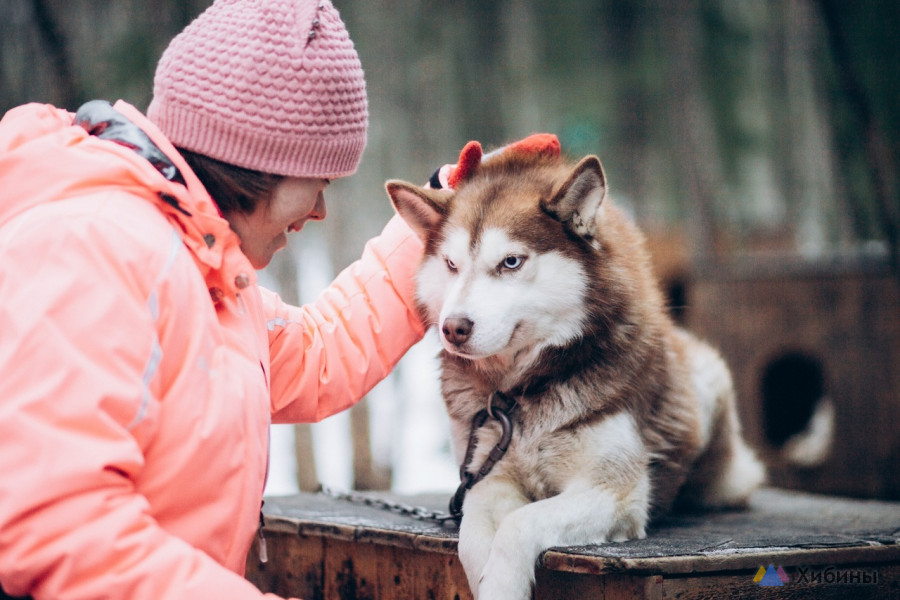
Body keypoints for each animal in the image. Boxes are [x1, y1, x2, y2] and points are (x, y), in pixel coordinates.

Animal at [384, 137, 764, 600]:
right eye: (451, 264)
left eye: (511, 262)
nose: (453, 328)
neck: (522, 394)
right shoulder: (487, 480)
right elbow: (472, 541)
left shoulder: (613, 492)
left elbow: (518, 524)